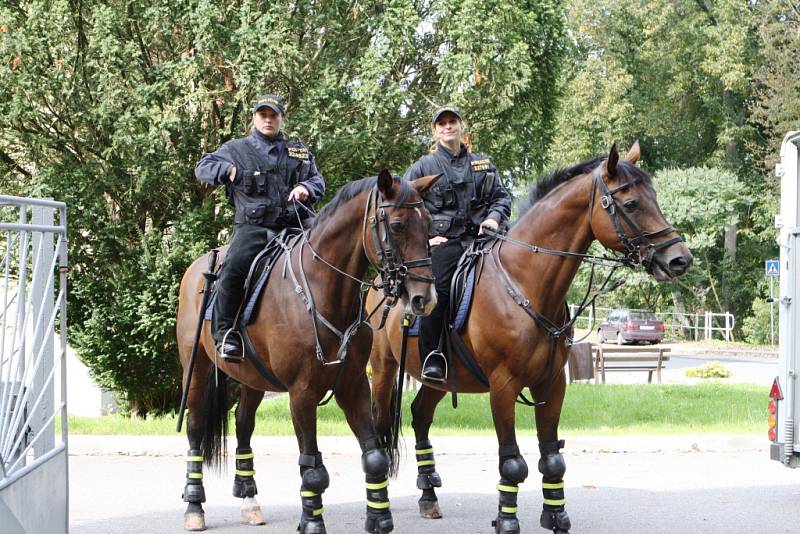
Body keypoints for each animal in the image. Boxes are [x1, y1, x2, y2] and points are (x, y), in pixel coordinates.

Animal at [175, 173, 440, 534]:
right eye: (397, 225)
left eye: (428, 224)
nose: (424, 298)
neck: (323, 289)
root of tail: (198, 267)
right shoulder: (302, 393)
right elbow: (312, 467)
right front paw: (312, 522)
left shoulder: (353, 385)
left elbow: (374, 456)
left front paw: (379, 517)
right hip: (197, 368)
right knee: (196, 428)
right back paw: (194, 505)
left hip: (253, 379)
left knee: (243, 423)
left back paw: (249, 500)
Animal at [368, 143, 692, 534]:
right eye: (631, 204)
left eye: (653, 198)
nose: (679, 259)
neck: (526, 282)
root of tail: (383, 279)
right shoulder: (503, 386)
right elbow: (512, 462)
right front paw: (507, 521)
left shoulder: (552, 384)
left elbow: (552, 457)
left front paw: (556, 517)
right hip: (384, 370)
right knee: (380, 426)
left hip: (441, 379)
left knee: (420, 417)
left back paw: (429, 495)